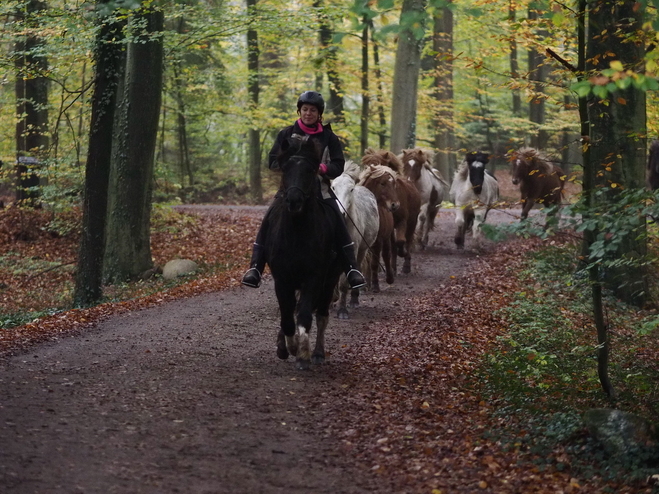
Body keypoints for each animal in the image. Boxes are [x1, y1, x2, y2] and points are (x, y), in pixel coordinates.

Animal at [264, 135, 342, 370]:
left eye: (310, 170)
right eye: (285, 168)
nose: (293, 201)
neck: (297, 233)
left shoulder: (314, 278)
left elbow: (305, 315)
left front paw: (303, 354)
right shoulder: (282, 279)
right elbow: (287, 316)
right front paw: (288, 346)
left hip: (330, 280)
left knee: (322, 315)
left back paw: (317, 353)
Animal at [332, 160, 378, 318]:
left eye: (351, 189)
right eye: (333, 188)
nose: (340, 213)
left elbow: (343, 283)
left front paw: (342, 310)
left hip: (362, 250)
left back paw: (354, 300)